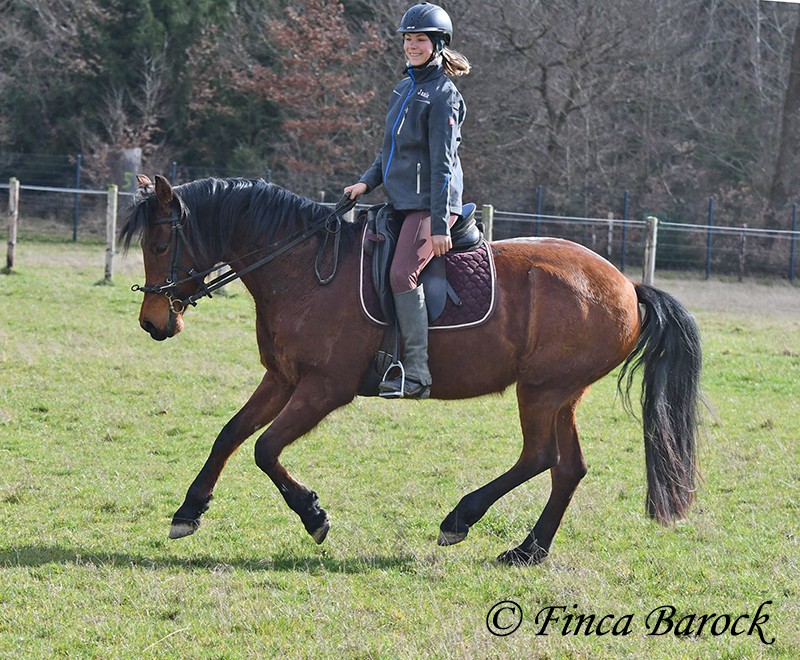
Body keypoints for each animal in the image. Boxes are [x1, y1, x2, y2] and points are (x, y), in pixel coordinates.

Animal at [120, 174, 702, 566]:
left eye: (161, 244)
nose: (151, 322)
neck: (303, 267)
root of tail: (626, 284)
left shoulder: (324, 388)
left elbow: (265, 448)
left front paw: (313, 515)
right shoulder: (282, 379)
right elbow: (230, 435)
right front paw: (189, 510)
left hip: (541, 390)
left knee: (539, 457)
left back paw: (460, 519)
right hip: (562, 393)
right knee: (568, 468)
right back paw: (528, 550)